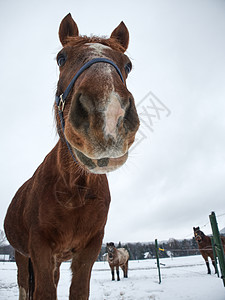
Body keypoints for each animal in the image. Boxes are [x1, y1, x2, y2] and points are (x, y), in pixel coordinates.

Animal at [3, 14, 139, 300]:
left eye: (128, 65)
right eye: (61, 58)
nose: (107, 116)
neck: (75, 188)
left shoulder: (89, 250)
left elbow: (78, 291)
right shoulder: (40, 248)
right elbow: (42, 292)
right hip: (22, 256)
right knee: (24, 286)